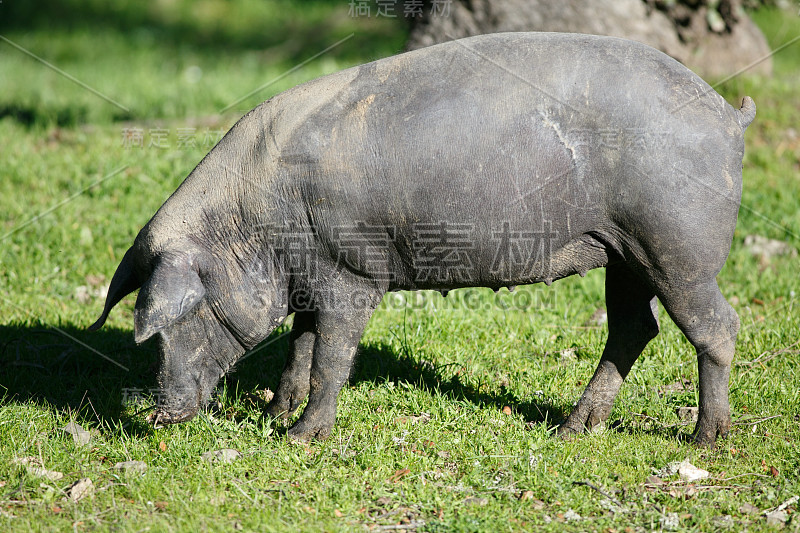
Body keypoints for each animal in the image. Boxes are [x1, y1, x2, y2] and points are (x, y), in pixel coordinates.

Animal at [90, 32, 752, 444]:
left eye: (183, 314)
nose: (157, 415)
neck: (255, 226)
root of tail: (728, 113)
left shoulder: (352, 271)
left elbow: (332, 355)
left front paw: (299, 437)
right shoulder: (307, 277)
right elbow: (299, 345)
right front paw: (272, 413)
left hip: (676, 244)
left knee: (717, 325)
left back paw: (704, 439)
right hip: (623, 252)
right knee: (636, 327)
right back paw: (573, 429)